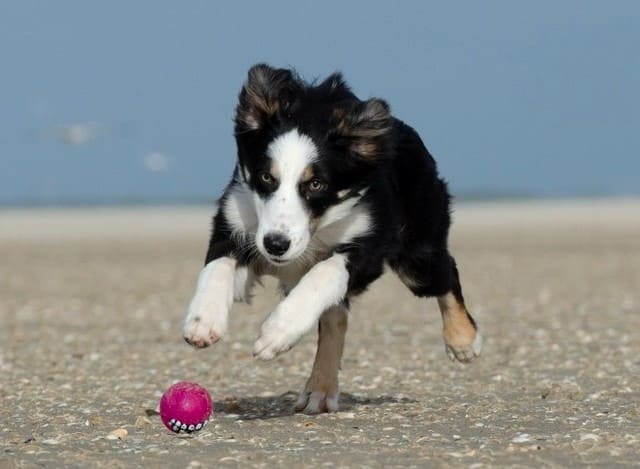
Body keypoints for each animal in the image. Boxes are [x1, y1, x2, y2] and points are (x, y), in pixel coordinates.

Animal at [180, 63, 480, 414]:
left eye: (316, 184)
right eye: (266, 177)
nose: (276, 245)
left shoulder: (369, 245)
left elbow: (324, 273)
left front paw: (276, 333)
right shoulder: (237, 224)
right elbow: (217, 266)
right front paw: (203, 321)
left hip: (417, 256)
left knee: (446, 274)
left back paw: (463, 341)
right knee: (336, 317)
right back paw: (320, 389)